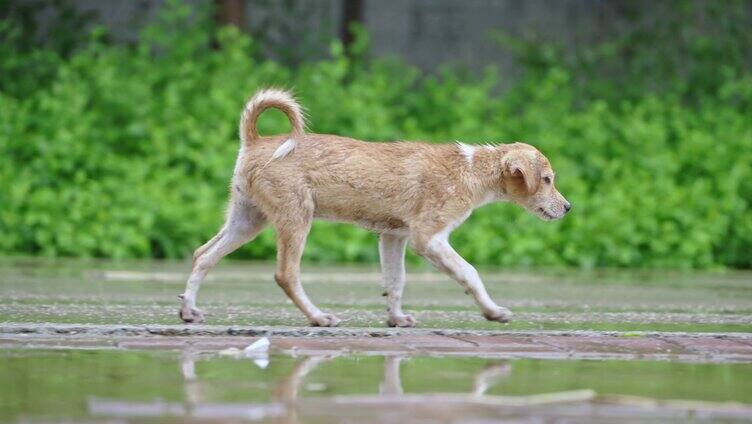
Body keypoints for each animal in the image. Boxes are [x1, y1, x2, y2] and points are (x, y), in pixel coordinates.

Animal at [181, 88, 568, 328]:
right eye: (548, 179)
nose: (568, 208)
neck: (471, 169)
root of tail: (254, 141)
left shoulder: (393, 237)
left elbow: (395, 281)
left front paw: (396, 319)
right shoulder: (428, 238)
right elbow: (470, 272)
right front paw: (493, 312)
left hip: (248, 220)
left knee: (203, 254)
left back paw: (188, 310)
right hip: (295, 218)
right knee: (285, 274)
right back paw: (319, 317)